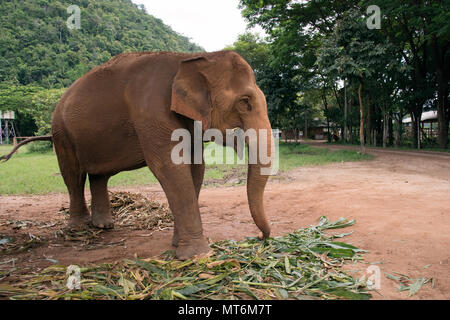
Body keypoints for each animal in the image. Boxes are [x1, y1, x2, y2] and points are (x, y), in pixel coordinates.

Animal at [1, 50, 274, 260]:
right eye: (245, 101)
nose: (261, 237)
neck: (189, 59)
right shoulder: (151, 112)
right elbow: (170, 167)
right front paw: (198, 255)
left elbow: (196, 167)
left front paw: (178, 246)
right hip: (61, 133)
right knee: (73, 175)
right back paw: (79, 229)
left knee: (98, 175)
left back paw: (104, 226)